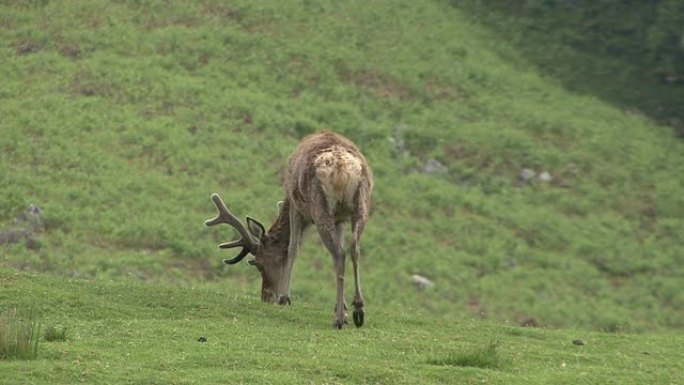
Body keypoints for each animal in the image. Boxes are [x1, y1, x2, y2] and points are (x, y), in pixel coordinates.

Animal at [204, 130, 374, 328]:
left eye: (258, 264)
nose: (266, 296)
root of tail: (342, 167)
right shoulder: (339, 219)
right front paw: (343, 307)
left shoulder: (295, 206)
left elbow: (293, 248)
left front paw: (284, 297)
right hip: (361, 205)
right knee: (354, 248)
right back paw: (358, 309)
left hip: (320, 207)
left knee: (340, 253)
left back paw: (339, 319)